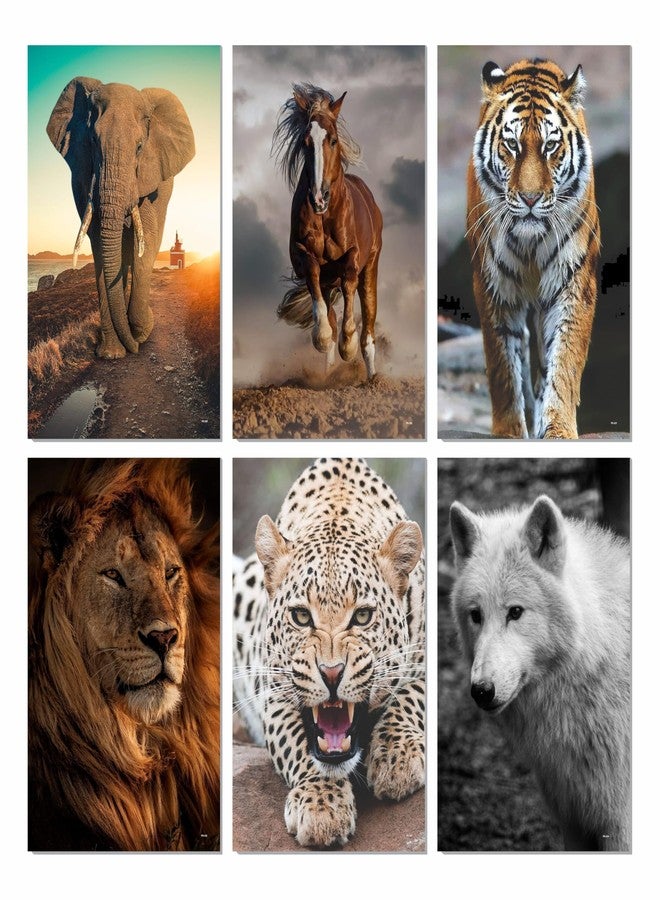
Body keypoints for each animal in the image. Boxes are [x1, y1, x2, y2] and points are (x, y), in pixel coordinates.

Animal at [47, 78, 195, 358]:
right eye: (93, 142)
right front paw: (111, 354)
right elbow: (98, 244)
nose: (135, 346)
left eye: (139, 147)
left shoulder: (151, 178)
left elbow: (147, 242)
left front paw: (141, 332)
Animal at [272, 84, 383, 379]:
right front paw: (322, 338)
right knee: (331, 309)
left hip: (371, 266)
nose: (318, 197)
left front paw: (349, 345)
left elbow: (349, 285)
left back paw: (371, 375)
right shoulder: (305, 256)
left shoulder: (353, 257)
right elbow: (318, 294)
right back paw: (330, 367)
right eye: (305, 142)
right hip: (328, 280)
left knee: (368, 323)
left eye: (332, 140)